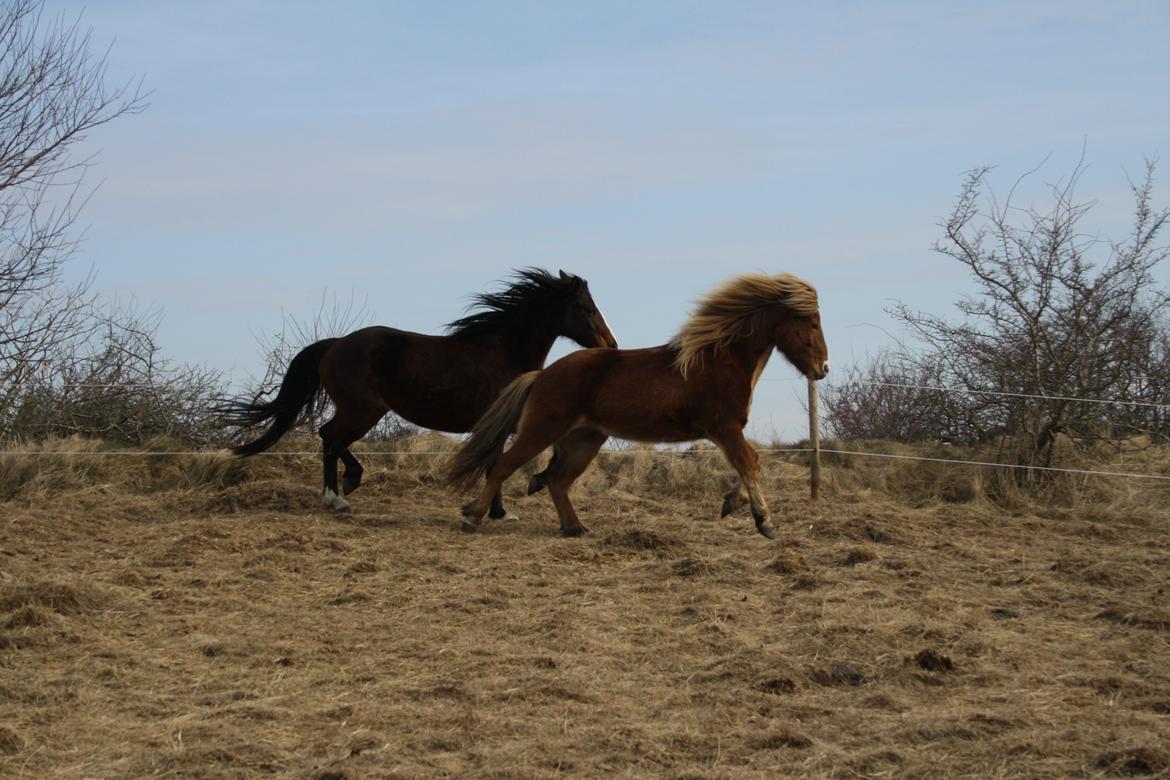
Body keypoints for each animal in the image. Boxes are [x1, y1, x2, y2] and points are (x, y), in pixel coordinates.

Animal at [222, 271, 617, 514]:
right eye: (587, 308)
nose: (611, 345)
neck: (503, 352)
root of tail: (335, 345)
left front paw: (518, 496)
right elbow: (500, 464)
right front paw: (502, 510)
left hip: (365, 410)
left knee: (330, 438)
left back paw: (347, 486)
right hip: (362, 410)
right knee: (331, 438)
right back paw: (338, 497)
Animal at [442, 275, 828, 542]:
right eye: (812, 324)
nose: (823, 368)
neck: (719, 360)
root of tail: (542, 374)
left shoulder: (727, 432)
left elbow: (751, 464)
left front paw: (731, 505)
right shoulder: (725, 429)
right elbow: (751, 463)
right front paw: (765, 523)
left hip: (586, 439)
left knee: (557, 480)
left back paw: (577, 528)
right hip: (543, 430)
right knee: (505, 466)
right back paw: (472, 517)